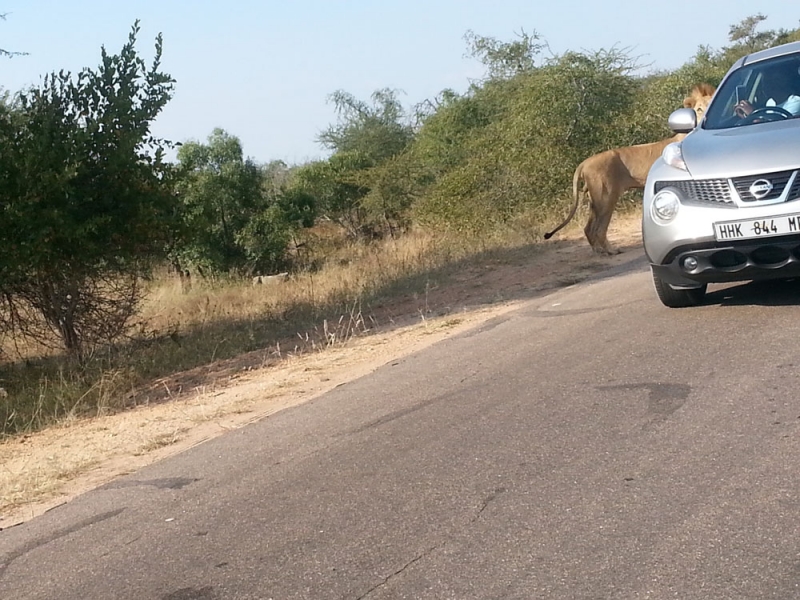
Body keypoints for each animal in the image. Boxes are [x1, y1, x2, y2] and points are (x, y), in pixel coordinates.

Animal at [548, 83, 716, 254]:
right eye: (699, 109)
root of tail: (585, 162)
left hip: (595, 199)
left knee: (588, 228)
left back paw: (599, 251)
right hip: (606, 197)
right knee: (599, 228)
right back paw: (610, 251)